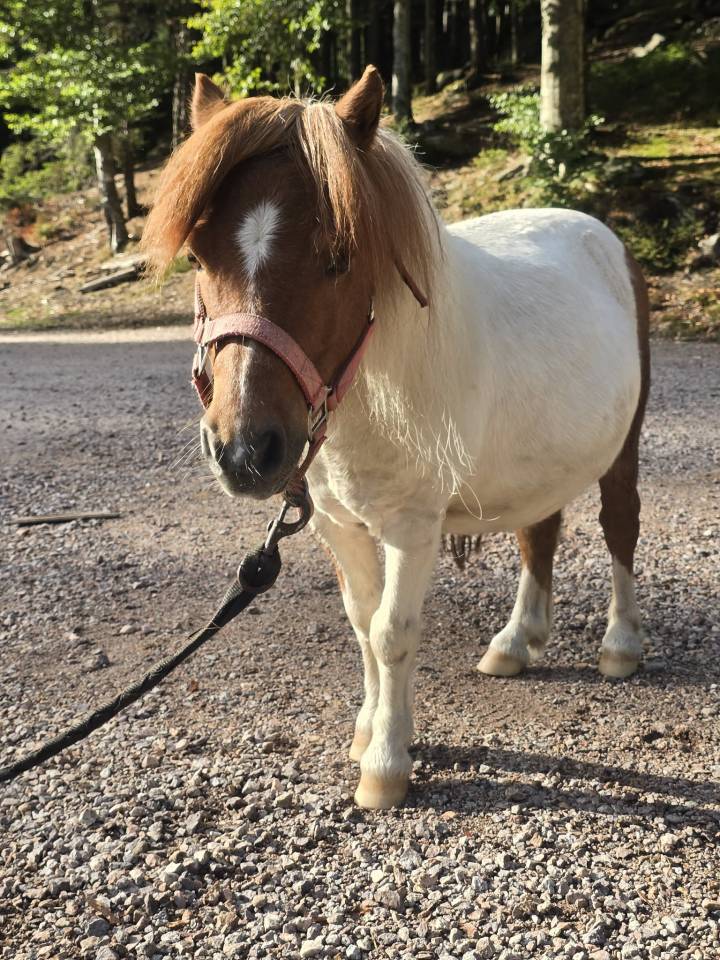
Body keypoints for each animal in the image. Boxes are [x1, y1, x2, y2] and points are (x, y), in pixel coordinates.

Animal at [142, 66, 650, 810]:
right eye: (200, 257)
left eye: (338, 258)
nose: (244, 451)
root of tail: (602, 236)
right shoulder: (339, 525)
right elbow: (362, 621)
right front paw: (372, 732)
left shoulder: (412, 527)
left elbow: (391, 633)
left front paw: (385, 765)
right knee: (541, 532)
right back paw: (516, 642)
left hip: (623, 449)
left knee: (620, 525)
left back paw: (619, 644)